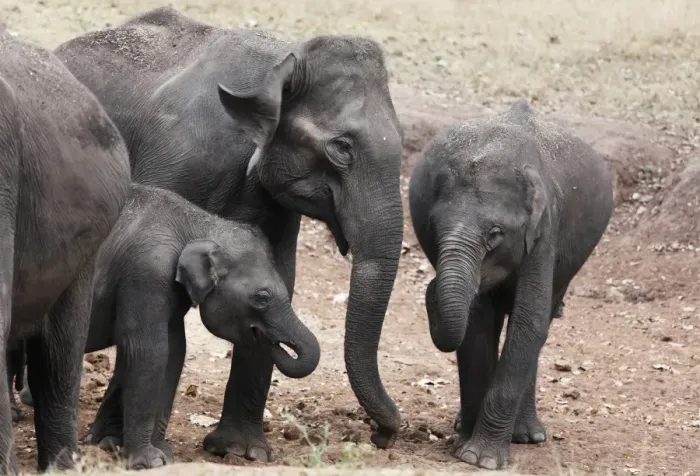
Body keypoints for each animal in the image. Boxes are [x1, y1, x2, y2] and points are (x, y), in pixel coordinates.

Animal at [9, 183, 321, 469]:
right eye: (262, 298)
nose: (276, 343)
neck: (199, 223)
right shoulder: (147, 272)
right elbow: (150, 351)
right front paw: (149, 461)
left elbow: (174, 350)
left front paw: (163, 453)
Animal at [53, 6, 404, 459]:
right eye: (341, 148)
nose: (382, 437)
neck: (284, 56)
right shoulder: (174, 158)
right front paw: (112, 441)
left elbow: (282, 276)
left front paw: (242, 452)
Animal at [408, 100, 613, 470]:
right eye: (433, 226)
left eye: (495, 234)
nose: (430, 289)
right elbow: (476, 324)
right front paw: (466, 452)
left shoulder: (545, 228)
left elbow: (529, 322)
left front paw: (481, 459)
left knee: (540, 321)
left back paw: (529, 436)